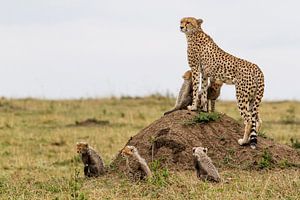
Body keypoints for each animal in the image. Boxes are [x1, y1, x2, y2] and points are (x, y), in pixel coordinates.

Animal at [179, 16, 264, 148]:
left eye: (188, 22)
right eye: (181, 21)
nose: (181, 27)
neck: (194, 32)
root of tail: (257, 67)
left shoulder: (195, 69)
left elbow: (196, 89)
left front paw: (192, 107)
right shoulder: (205, 73)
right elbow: (203, 91)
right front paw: (203, 108)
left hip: (242, 96)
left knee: (249, 120)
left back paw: (244, 141)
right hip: (252, 98)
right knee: (257, 120)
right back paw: (252, 140)